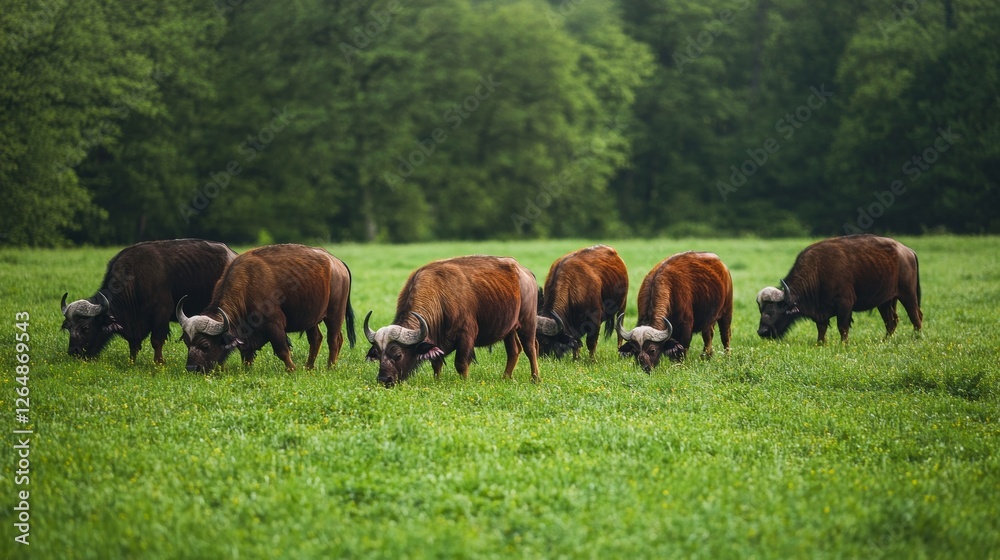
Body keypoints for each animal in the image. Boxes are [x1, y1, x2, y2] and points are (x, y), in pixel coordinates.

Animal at [60, 238, 236, 363]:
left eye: (86, 327)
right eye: (68, 327)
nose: (73, 351)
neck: (133, 279)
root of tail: (233, 255)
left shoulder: (161, 314)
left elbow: (156, 341)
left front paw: (159, 362)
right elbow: (133, 344)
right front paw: (132, 362)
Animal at [177, 244, 356, 372]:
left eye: (205, 345)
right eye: (187, 342)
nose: (192, 368)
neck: (247, 284)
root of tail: (337, 262)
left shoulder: (274, 324)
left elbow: (282, 350)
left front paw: (292, 370)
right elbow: (246, 353)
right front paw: (247, 370)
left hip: (335, 314)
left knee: (334, 339)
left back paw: (330, 367)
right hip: (312, 318)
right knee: (316, 339)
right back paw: (309, 367)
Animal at [364, 255, 540, 387]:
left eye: (398, 354)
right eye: (378, 354)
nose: (384, 380)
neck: (440, 298)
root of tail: (525, 272)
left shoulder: (466, 335)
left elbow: (461, 363)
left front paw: (464, 382)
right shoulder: (435, 340)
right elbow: (436, 363)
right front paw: (437, 381)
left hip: (527, 322)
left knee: (531, 348)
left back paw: (535, 378)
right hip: (509, 329)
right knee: (514, 351)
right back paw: (505, 377)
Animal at [756, 234, 922, 343]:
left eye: (771, 311)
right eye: (761, 311)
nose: (761, 332)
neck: (817, 271)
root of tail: (907, 251)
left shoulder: (845, 305)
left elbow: (842, 327)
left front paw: (843, 344)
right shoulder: (820, 312)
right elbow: (821, 328)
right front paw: (820, 344)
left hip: (907, 295)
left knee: (916, 316)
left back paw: (917, 338)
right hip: (886, 301)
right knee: (891, 321)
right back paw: (884, 341)